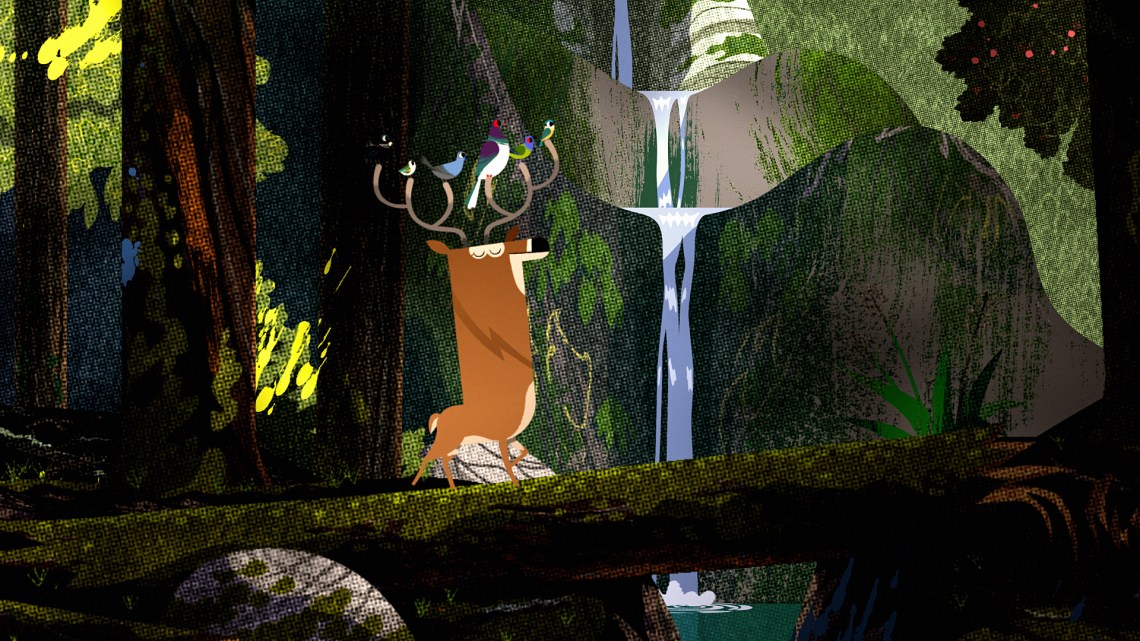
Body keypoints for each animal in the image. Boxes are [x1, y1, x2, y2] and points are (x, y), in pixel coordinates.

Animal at [371, 123, 560, 489]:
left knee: (443, 458)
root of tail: (439, 417)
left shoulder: (506, 438)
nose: (540, 241)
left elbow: (519, 454)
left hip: (454, 442)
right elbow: (508, 463)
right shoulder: (498, 435)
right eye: (491, 252)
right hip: (450, 439)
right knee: (435, 457)